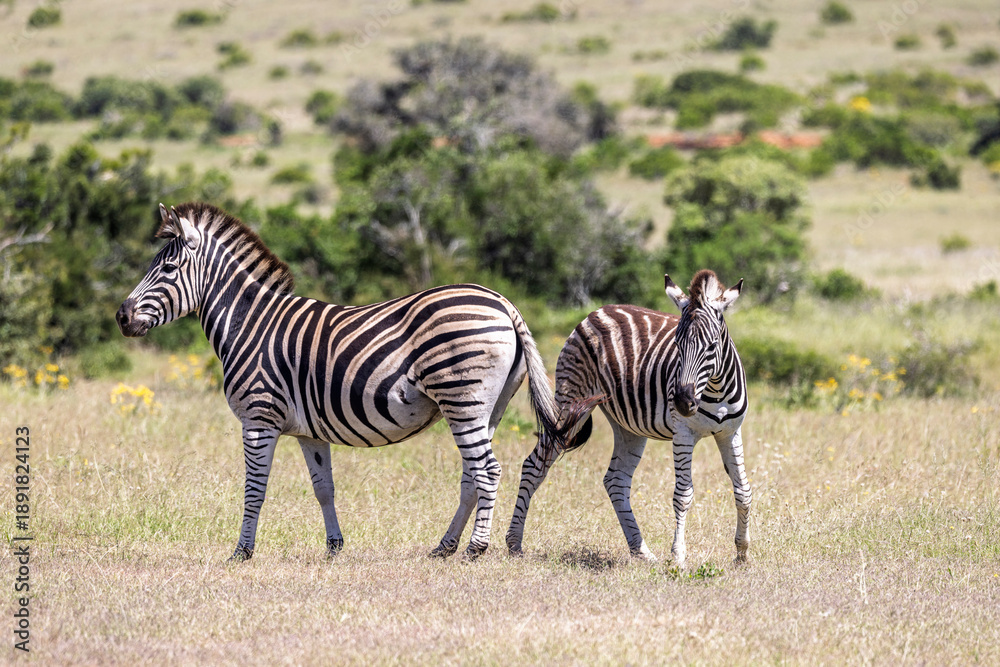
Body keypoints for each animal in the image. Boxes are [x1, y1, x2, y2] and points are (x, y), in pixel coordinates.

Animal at [116, 202, 564, 561]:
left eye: (167, 269)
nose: (121, 317)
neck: (249, 324)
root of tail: (504, 303)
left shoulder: (258, 419)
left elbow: (255, 489)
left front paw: (241, 552)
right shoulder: (308, 431)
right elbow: (323, 488)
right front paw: (334, 547)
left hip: (462, 397)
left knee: (487, 470)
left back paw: (475, 548)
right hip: (489, 406)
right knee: (472, 475)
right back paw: (445, 546)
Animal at [506, 269, 751, 568]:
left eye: (712, 346)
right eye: (677, 345)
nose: (682, 402)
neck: (715, 390)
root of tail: (598, 311)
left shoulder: (730, 432)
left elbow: (743, 491)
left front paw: (742, 552)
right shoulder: (683, 434)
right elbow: (683, 495)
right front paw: (678, 557)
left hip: (628, 426)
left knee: (616, 480)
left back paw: (641, 550)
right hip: (571, 402)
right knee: (534, 465)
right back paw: (514, 543)